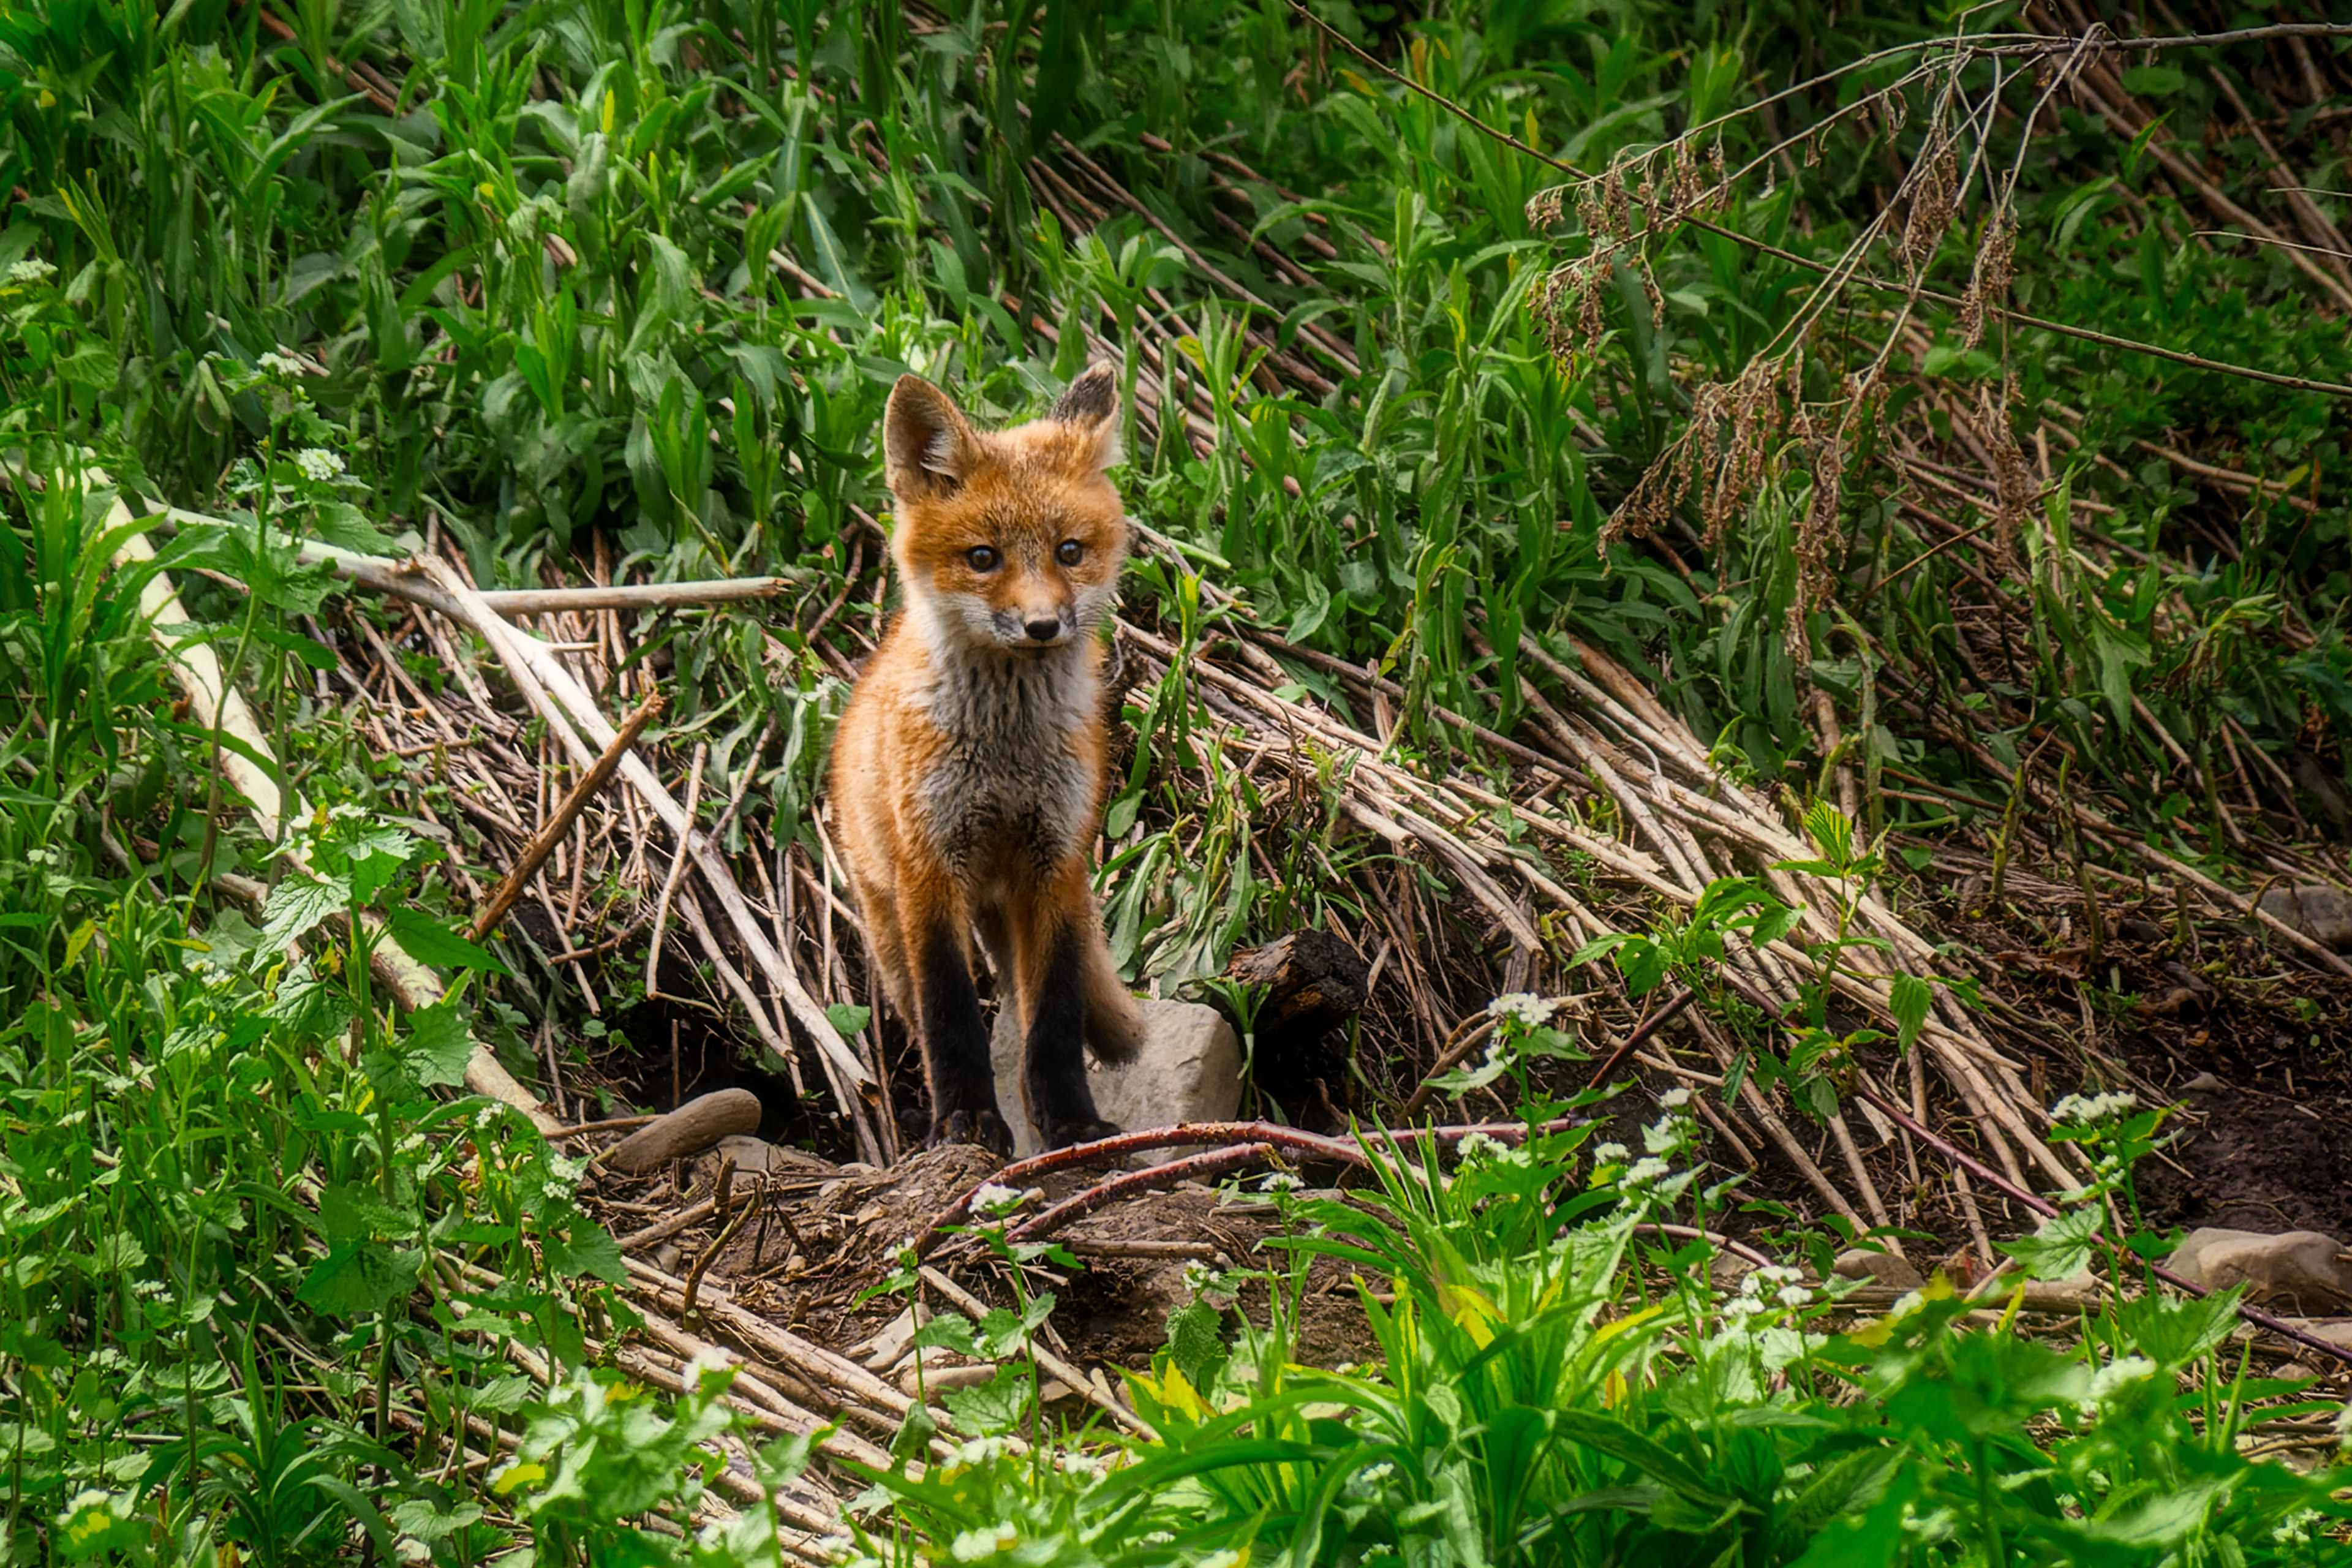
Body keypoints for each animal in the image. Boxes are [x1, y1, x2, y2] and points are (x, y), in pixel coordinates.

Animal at [828, 363, 1146, 1155]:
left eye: (1070, 550)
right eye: (983, 558)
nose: (1042, 625)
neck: (1005, 755)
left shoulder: (1057, 862)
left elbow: (1055, 1021)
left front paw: (1071, 1121)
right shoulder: (930, 866)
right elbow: (952, 1019)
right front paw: (966, 1122)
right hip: (888, 928)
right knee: (922, 1010)